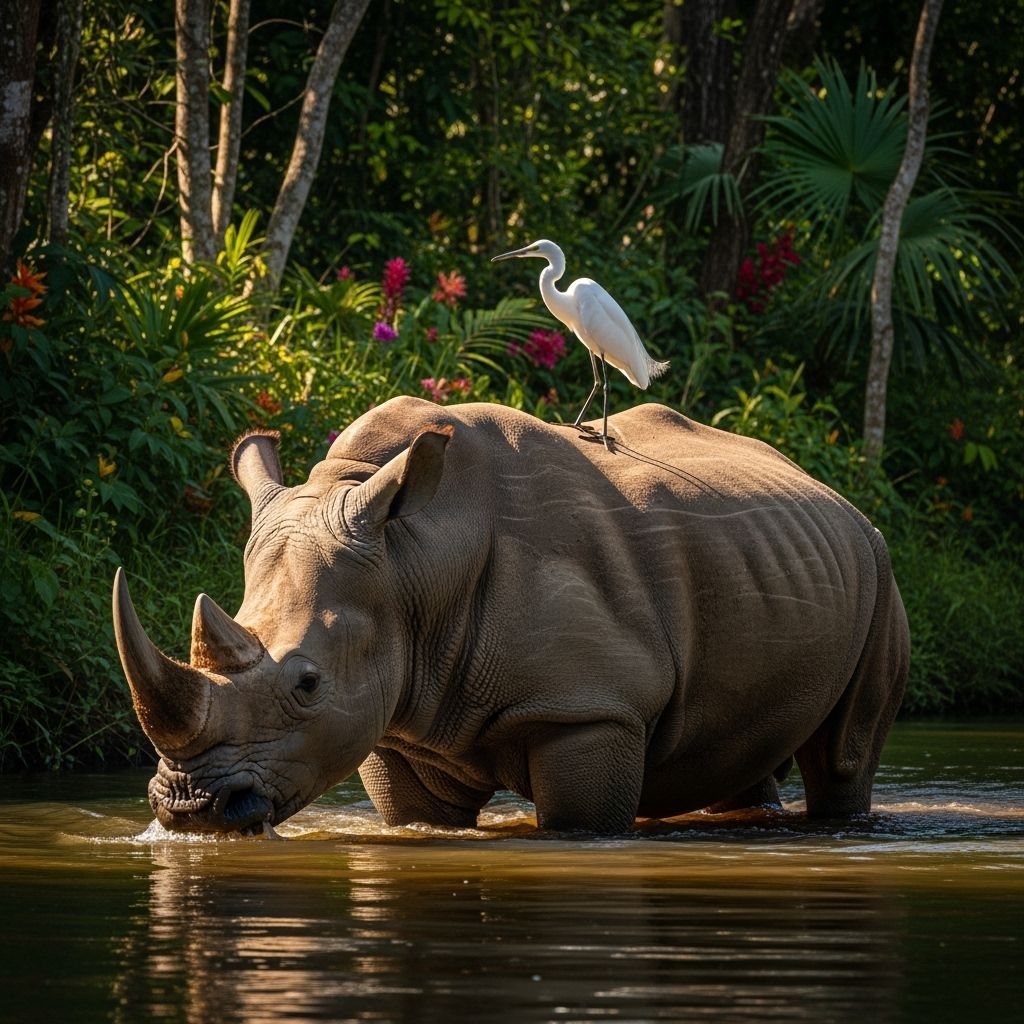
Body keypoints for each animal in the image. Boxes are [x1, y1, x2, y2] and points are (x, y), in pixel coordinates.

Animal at [113, 397, 909, 834]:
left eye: (308, 685)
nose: (188, 807)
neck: (413, 559)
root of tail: (830, 489)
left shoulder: (591, 708)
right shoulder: (397, 728)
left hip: (880, 564)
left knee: (844, 753)